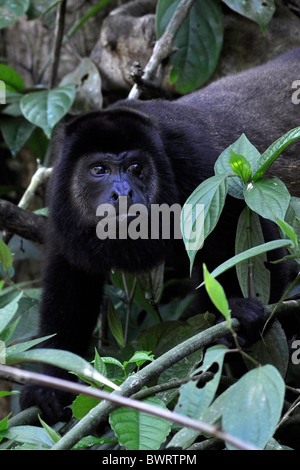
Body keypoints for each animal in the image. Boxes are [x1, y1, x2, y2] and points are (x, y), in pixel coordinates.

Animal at [20, 46, 300, 422]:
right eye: (99, 169)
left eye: (136, 167)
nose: (122, 192)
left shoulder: (199, 165)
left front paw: (241, 315)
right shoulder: (62, 203)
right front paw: (49, 386)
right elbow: (70, 281)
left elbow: (259, 236)